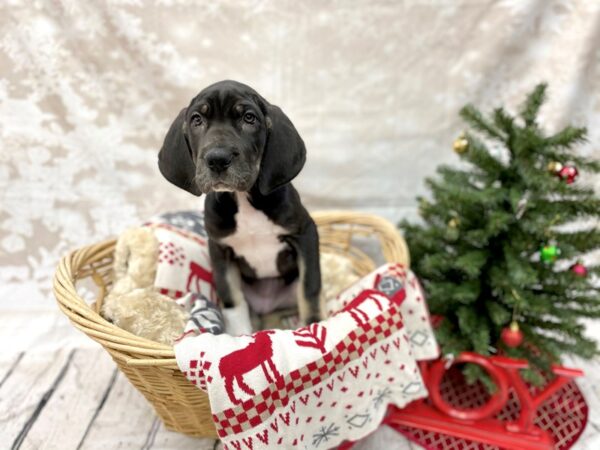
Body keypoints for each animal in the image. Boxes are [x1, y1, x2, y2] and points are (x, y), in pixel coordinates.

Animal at [157, 78, 322, 324]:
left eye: (249, 118)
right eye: (197, 120)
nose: (217, 159)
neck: (243, 199)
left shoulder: (305, 234)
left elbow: (309, 288)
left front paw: (314, 325)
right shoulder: (219, 249)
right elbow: (232, 300)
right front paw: (238, 331)